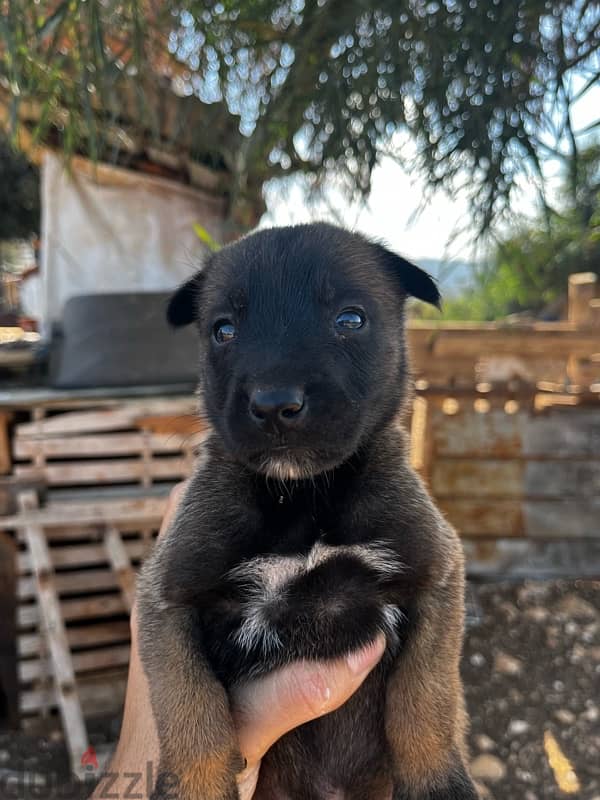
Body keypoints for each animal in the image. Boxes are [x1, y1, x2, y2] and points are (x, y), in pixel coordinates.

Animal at [137, 223, 478, 800]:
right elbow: (190, 708)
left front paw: (437, 781)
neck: (301, 497)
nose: (275, 404)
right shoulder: (166, 598)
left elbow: (426, 696)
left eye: (350, 320)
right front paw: (196, 785)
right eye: (223, 330)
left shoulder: (437, 576)